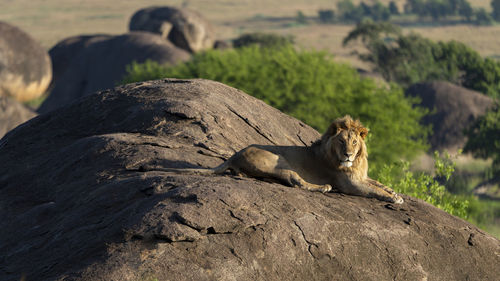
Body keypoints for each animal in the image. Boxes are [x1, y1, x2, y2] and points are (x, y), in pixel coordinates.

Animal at [144, 114, 402, 203]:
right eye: (341, 142)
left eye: (355, 142)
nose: (348, 154)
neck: (355, 163)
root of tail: (234, 155)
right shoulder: (349, 183)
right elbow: (373, 191)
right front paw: (394, 198)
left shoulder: (361, 176)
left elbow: (378, 183)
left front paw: (394, 191)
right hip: (278, 160)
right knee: (295, 180)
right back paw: (323, 187)